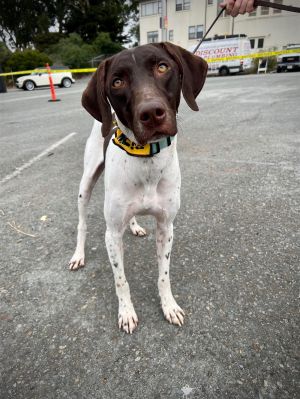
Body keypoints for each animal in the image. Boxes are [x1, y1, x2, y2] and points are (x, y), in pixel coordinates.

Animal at [69, 42, 207, 332]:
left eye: (162, 67)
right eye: (117, 82)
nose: (151, 113)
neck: (147, 161)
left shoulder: (166, 226)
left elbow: (163, 275)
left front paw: (169, 306)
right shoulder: (111, 235)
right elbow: (121, 281)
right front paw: (126, 312)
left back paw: (134, 226)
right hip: (86, 185)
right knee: (82, 223)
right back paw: (78, 254)